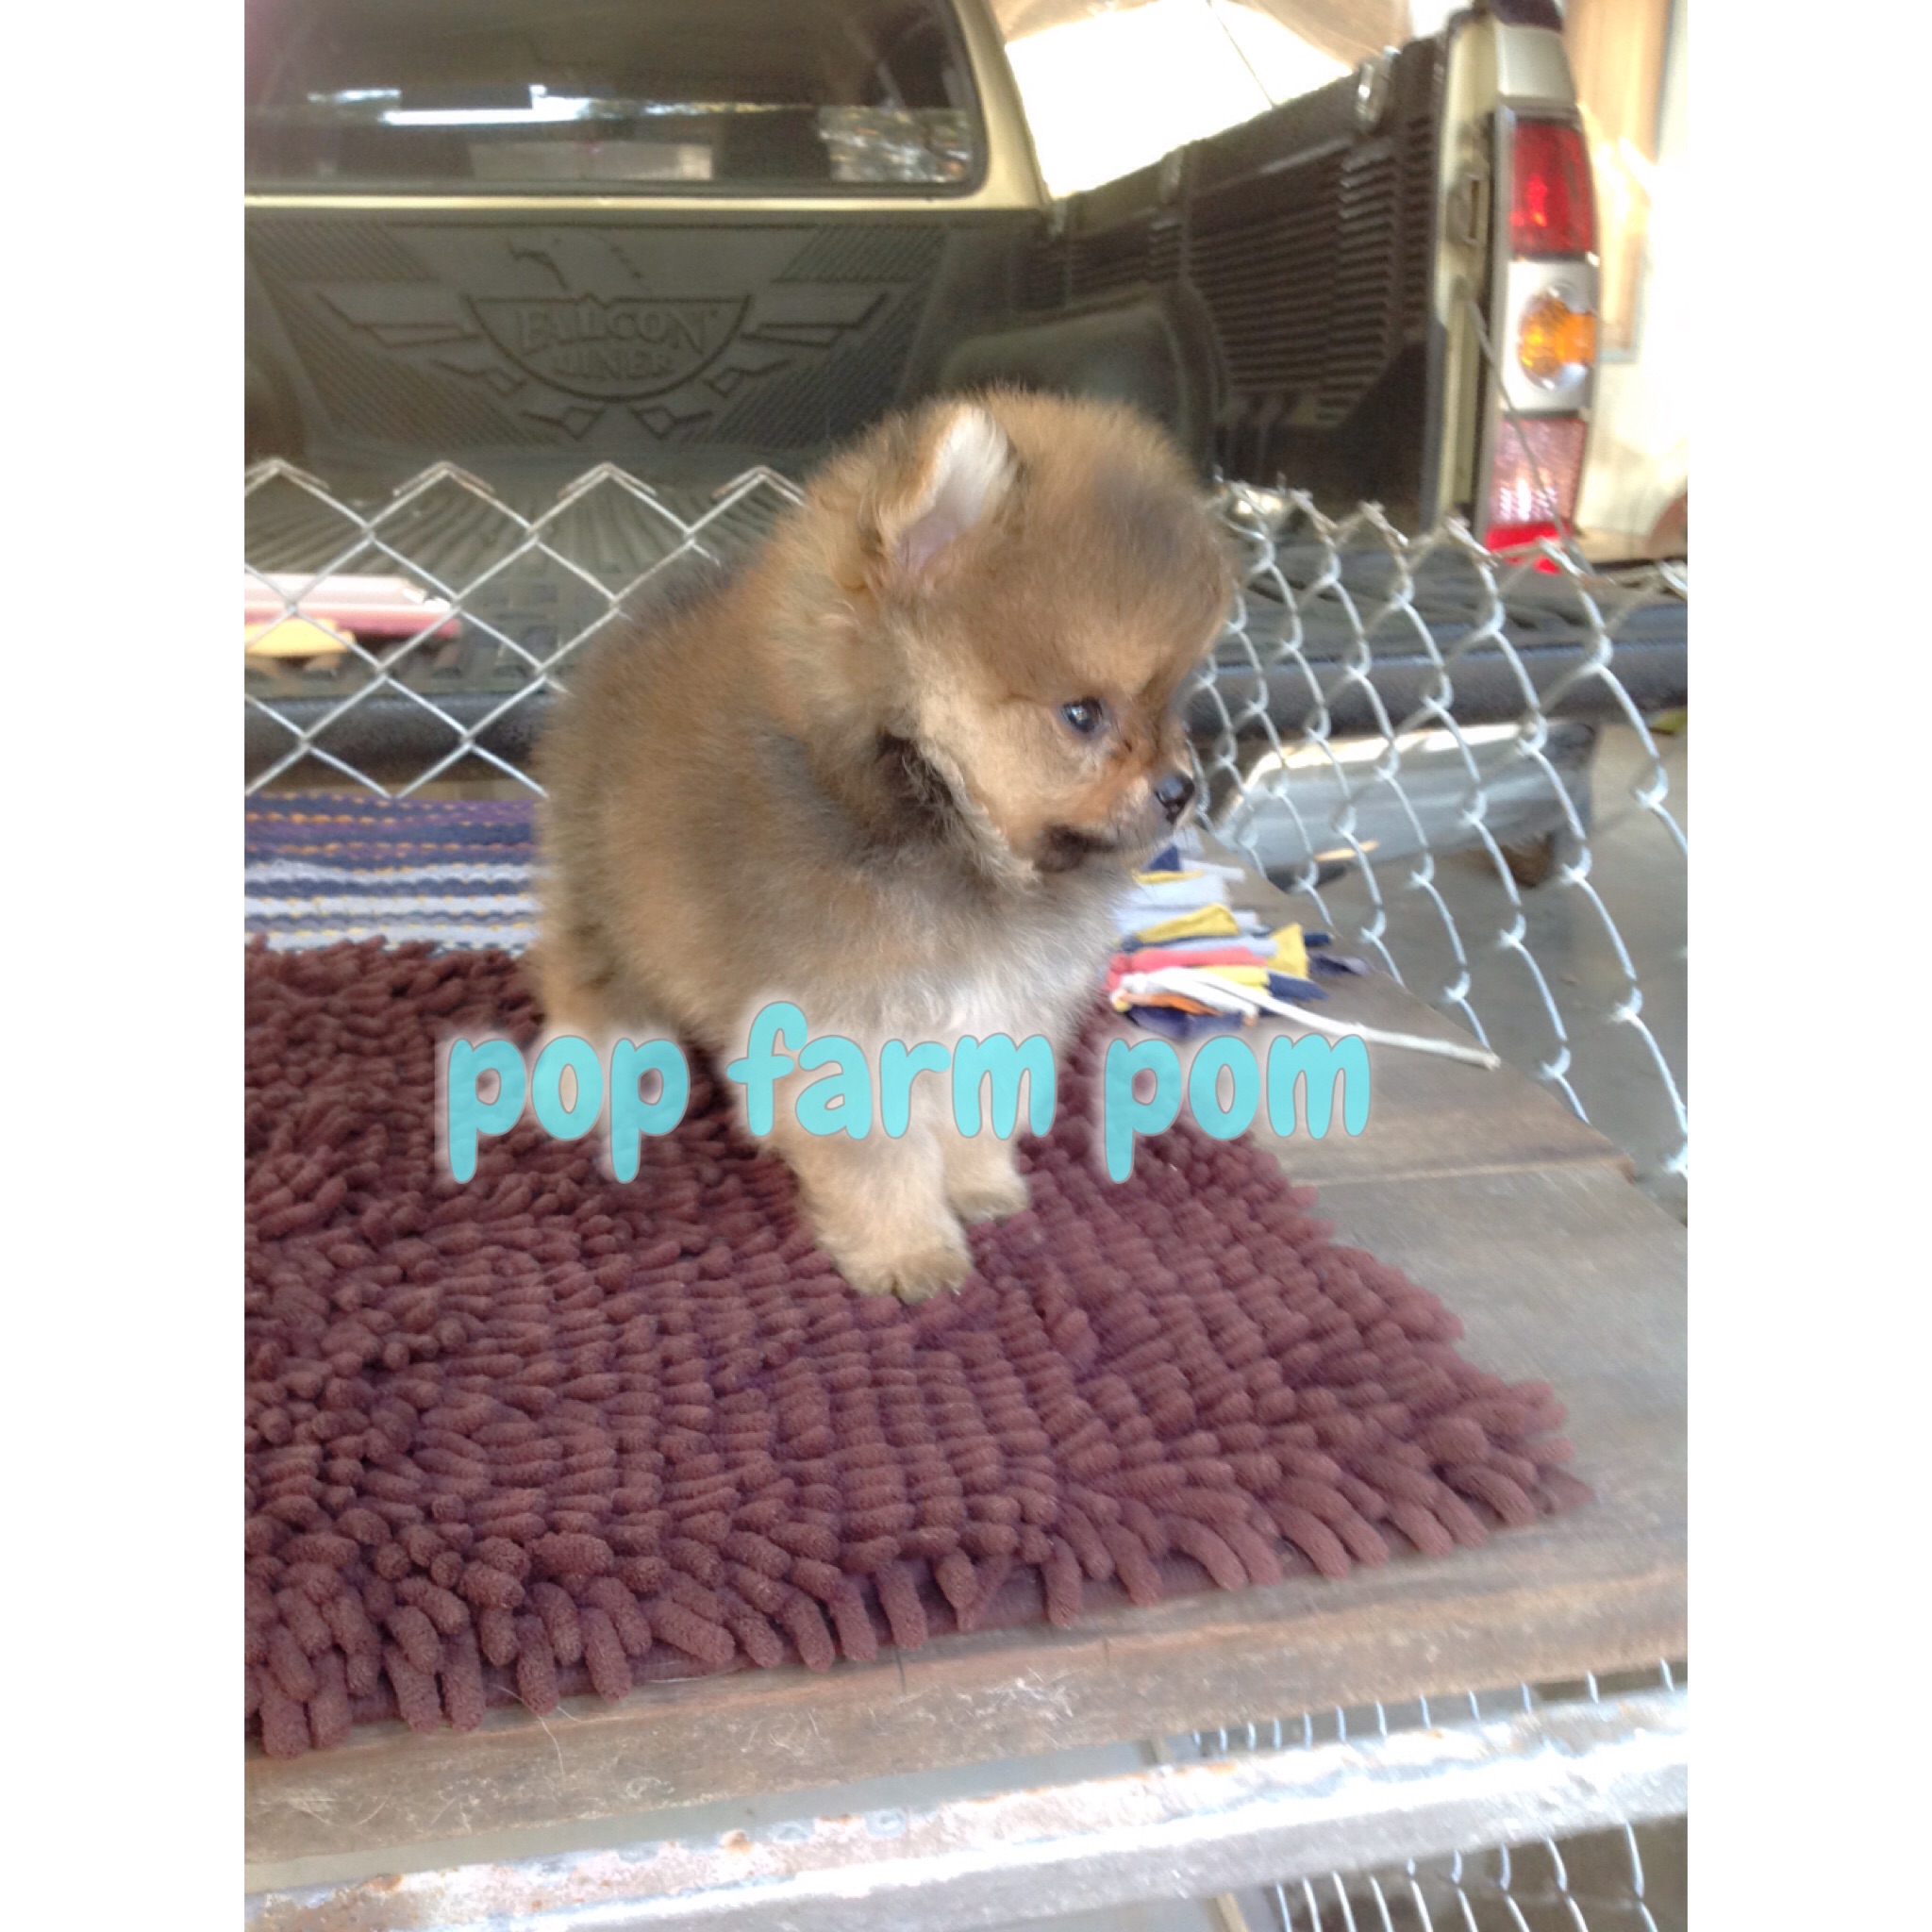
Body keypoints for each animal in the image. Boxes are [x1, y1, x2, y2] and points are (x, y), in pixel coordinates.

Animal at [531, 390, 1235, 1300]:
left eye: (1174, 703)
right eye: (1082, 714)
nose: (1182, 789)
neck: (935, 824)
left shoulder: (998, 1008)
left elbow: (975, 1111)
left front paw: (978, 1187)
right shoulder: (847, 1025)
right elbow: (878, 1158)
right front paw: (908, 1252)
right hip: (601, 904)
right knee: (586, 984)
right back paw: (590, 1073)